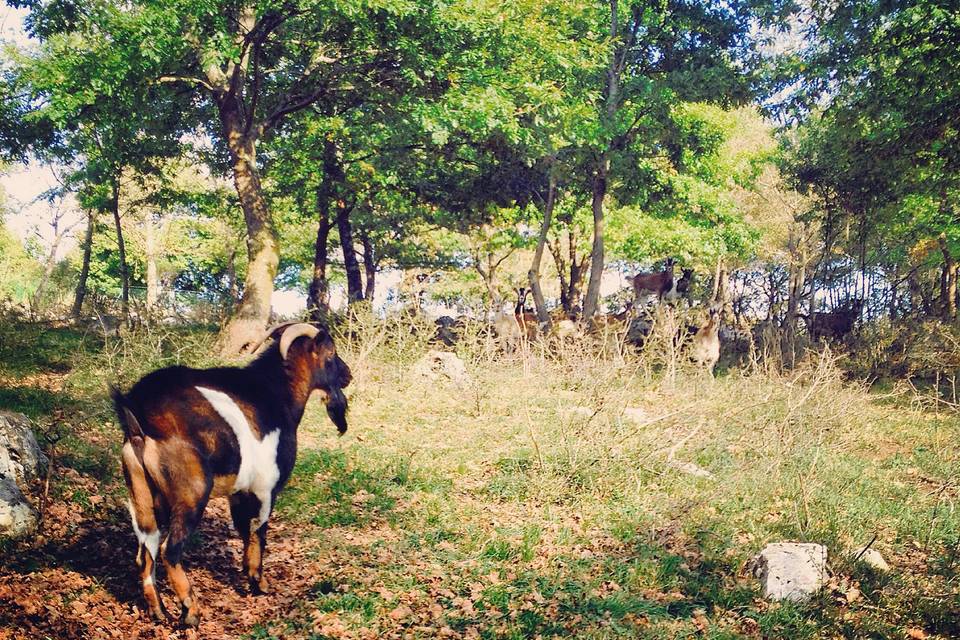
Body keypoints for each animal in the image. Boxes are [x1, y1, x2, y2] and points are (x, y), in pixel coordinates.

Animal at [112, 322, 352, 628]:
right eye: (331, 353)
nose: (347, 375)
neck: (277, 394)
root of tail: (138, 417)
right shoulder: (266, 488)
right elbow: (259, 531)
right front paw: (258, 583)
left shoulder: (239, 491)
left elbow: (243, 530)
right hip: (192, 494)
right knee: (170, 550)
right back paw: (191, 611)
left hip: (142, 496)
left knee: (146, 552)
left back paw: (158, 611)